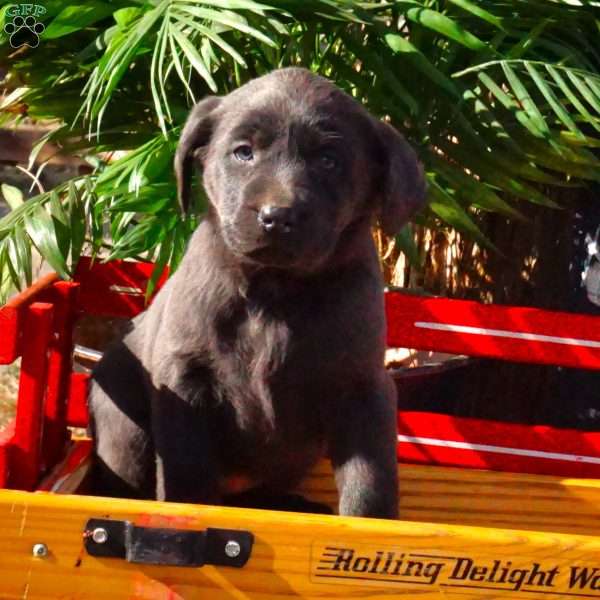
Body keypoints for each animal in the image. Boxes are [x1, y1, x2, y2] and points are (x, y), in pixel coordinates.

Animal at [90, 64, 426, 516]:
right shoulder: (184, 381)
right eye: (243, 152)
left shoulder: (363, 387)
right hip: (122, 423)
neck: (273, 290)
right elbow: (187, 473)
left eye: (328, 161)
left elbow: (369, 480)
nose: (277, 216)